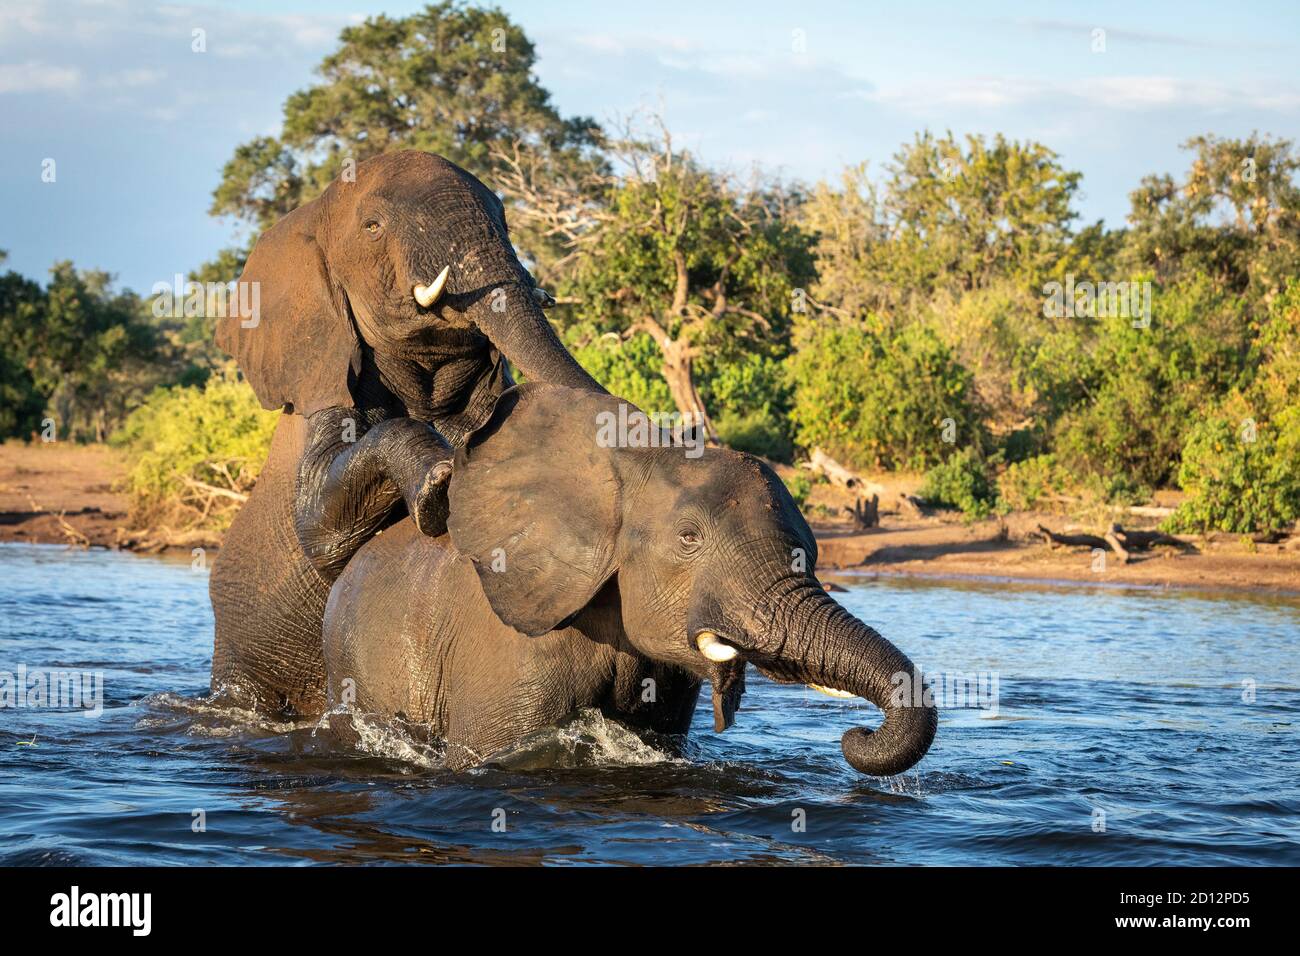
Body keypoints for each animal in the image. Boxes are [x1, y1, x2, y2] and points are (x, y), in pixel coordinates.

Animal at [210, 151, 600, 717]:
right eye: (373, 227)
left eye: (504, 220)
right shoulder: (323, 376)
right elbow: (319, 529)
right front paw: (441, 485)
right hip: (242, 658)